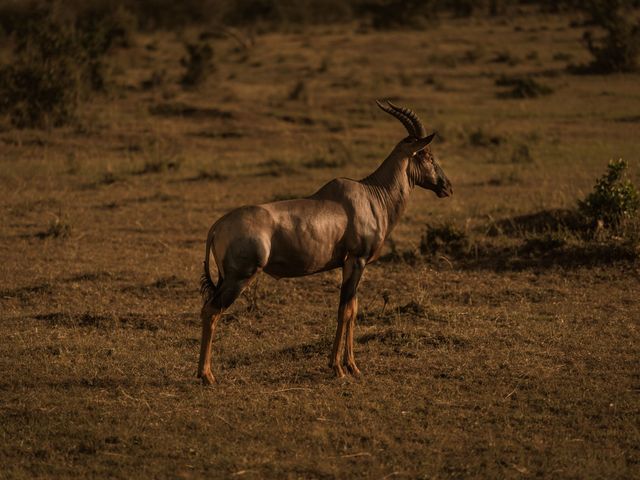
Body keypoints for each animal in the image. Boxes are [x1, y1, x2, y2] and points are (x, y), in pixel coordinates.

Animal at [198, 99, 452, 384]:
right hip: (239, 278)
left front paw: (352, 366)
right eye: (427, 154)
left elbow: (353, 309)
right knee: (211, 310)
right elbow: (344, 311)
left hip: (225, 278)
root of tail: (217, 226)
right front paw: (338, 367)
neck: (371, 195)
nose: (447, 187)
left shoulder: (351, 265)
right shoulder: (356, 261)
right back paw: (207, 375)